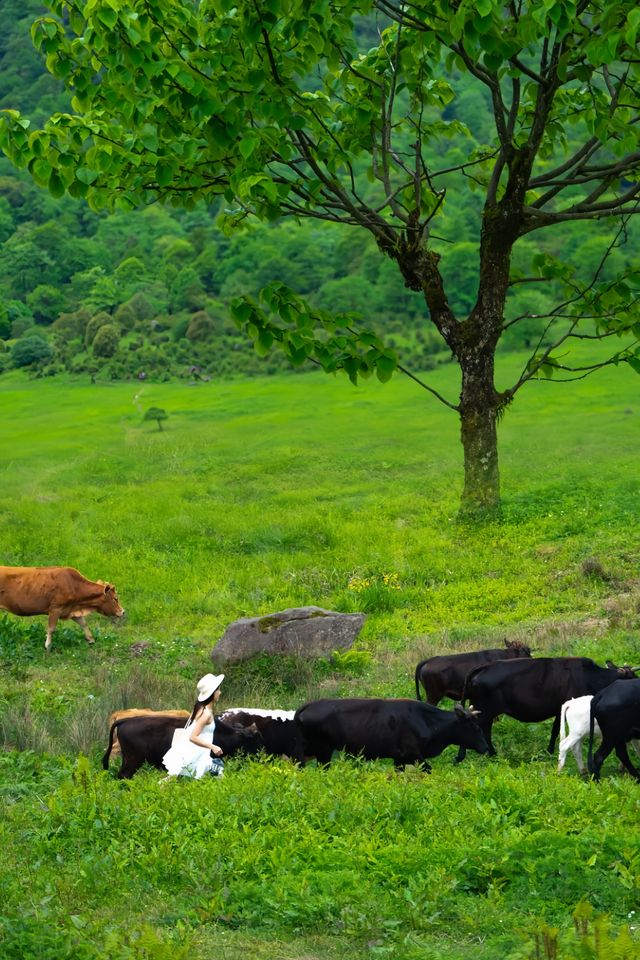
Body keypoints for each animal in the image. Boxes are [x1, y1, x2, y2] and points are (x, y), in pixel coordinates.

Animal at [292, 692, 488, 768]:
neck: (426, 721)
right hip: (323, 751)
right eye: (475, 727)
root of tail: (308, 705)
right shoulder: (414, 755)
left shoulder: (399, 759)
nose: (486, 748)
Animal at [458, 656, 636, 760]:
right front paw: (551, 751)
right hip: (485, 710)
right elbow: (556, 730)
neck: (590, 676)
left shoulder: (559, 709)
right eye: (633, 677)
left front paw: (549, 750)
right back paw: (476, 754)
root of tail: (483, 667)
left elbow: (555, 730)